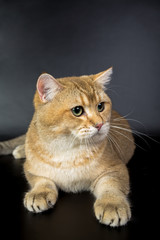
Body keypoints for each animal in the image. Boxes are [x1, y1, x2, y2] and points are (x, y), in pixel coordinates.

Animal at [0, 67, 135, 227]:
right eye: (77, 110)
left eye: (100, 106)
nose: (100, 124)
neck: (67, 149)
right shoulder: (31, 168)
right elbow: (42, 179)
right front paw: (40, 192)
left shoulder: (116, 168)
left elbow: (111, 185)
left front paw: (112, 204)